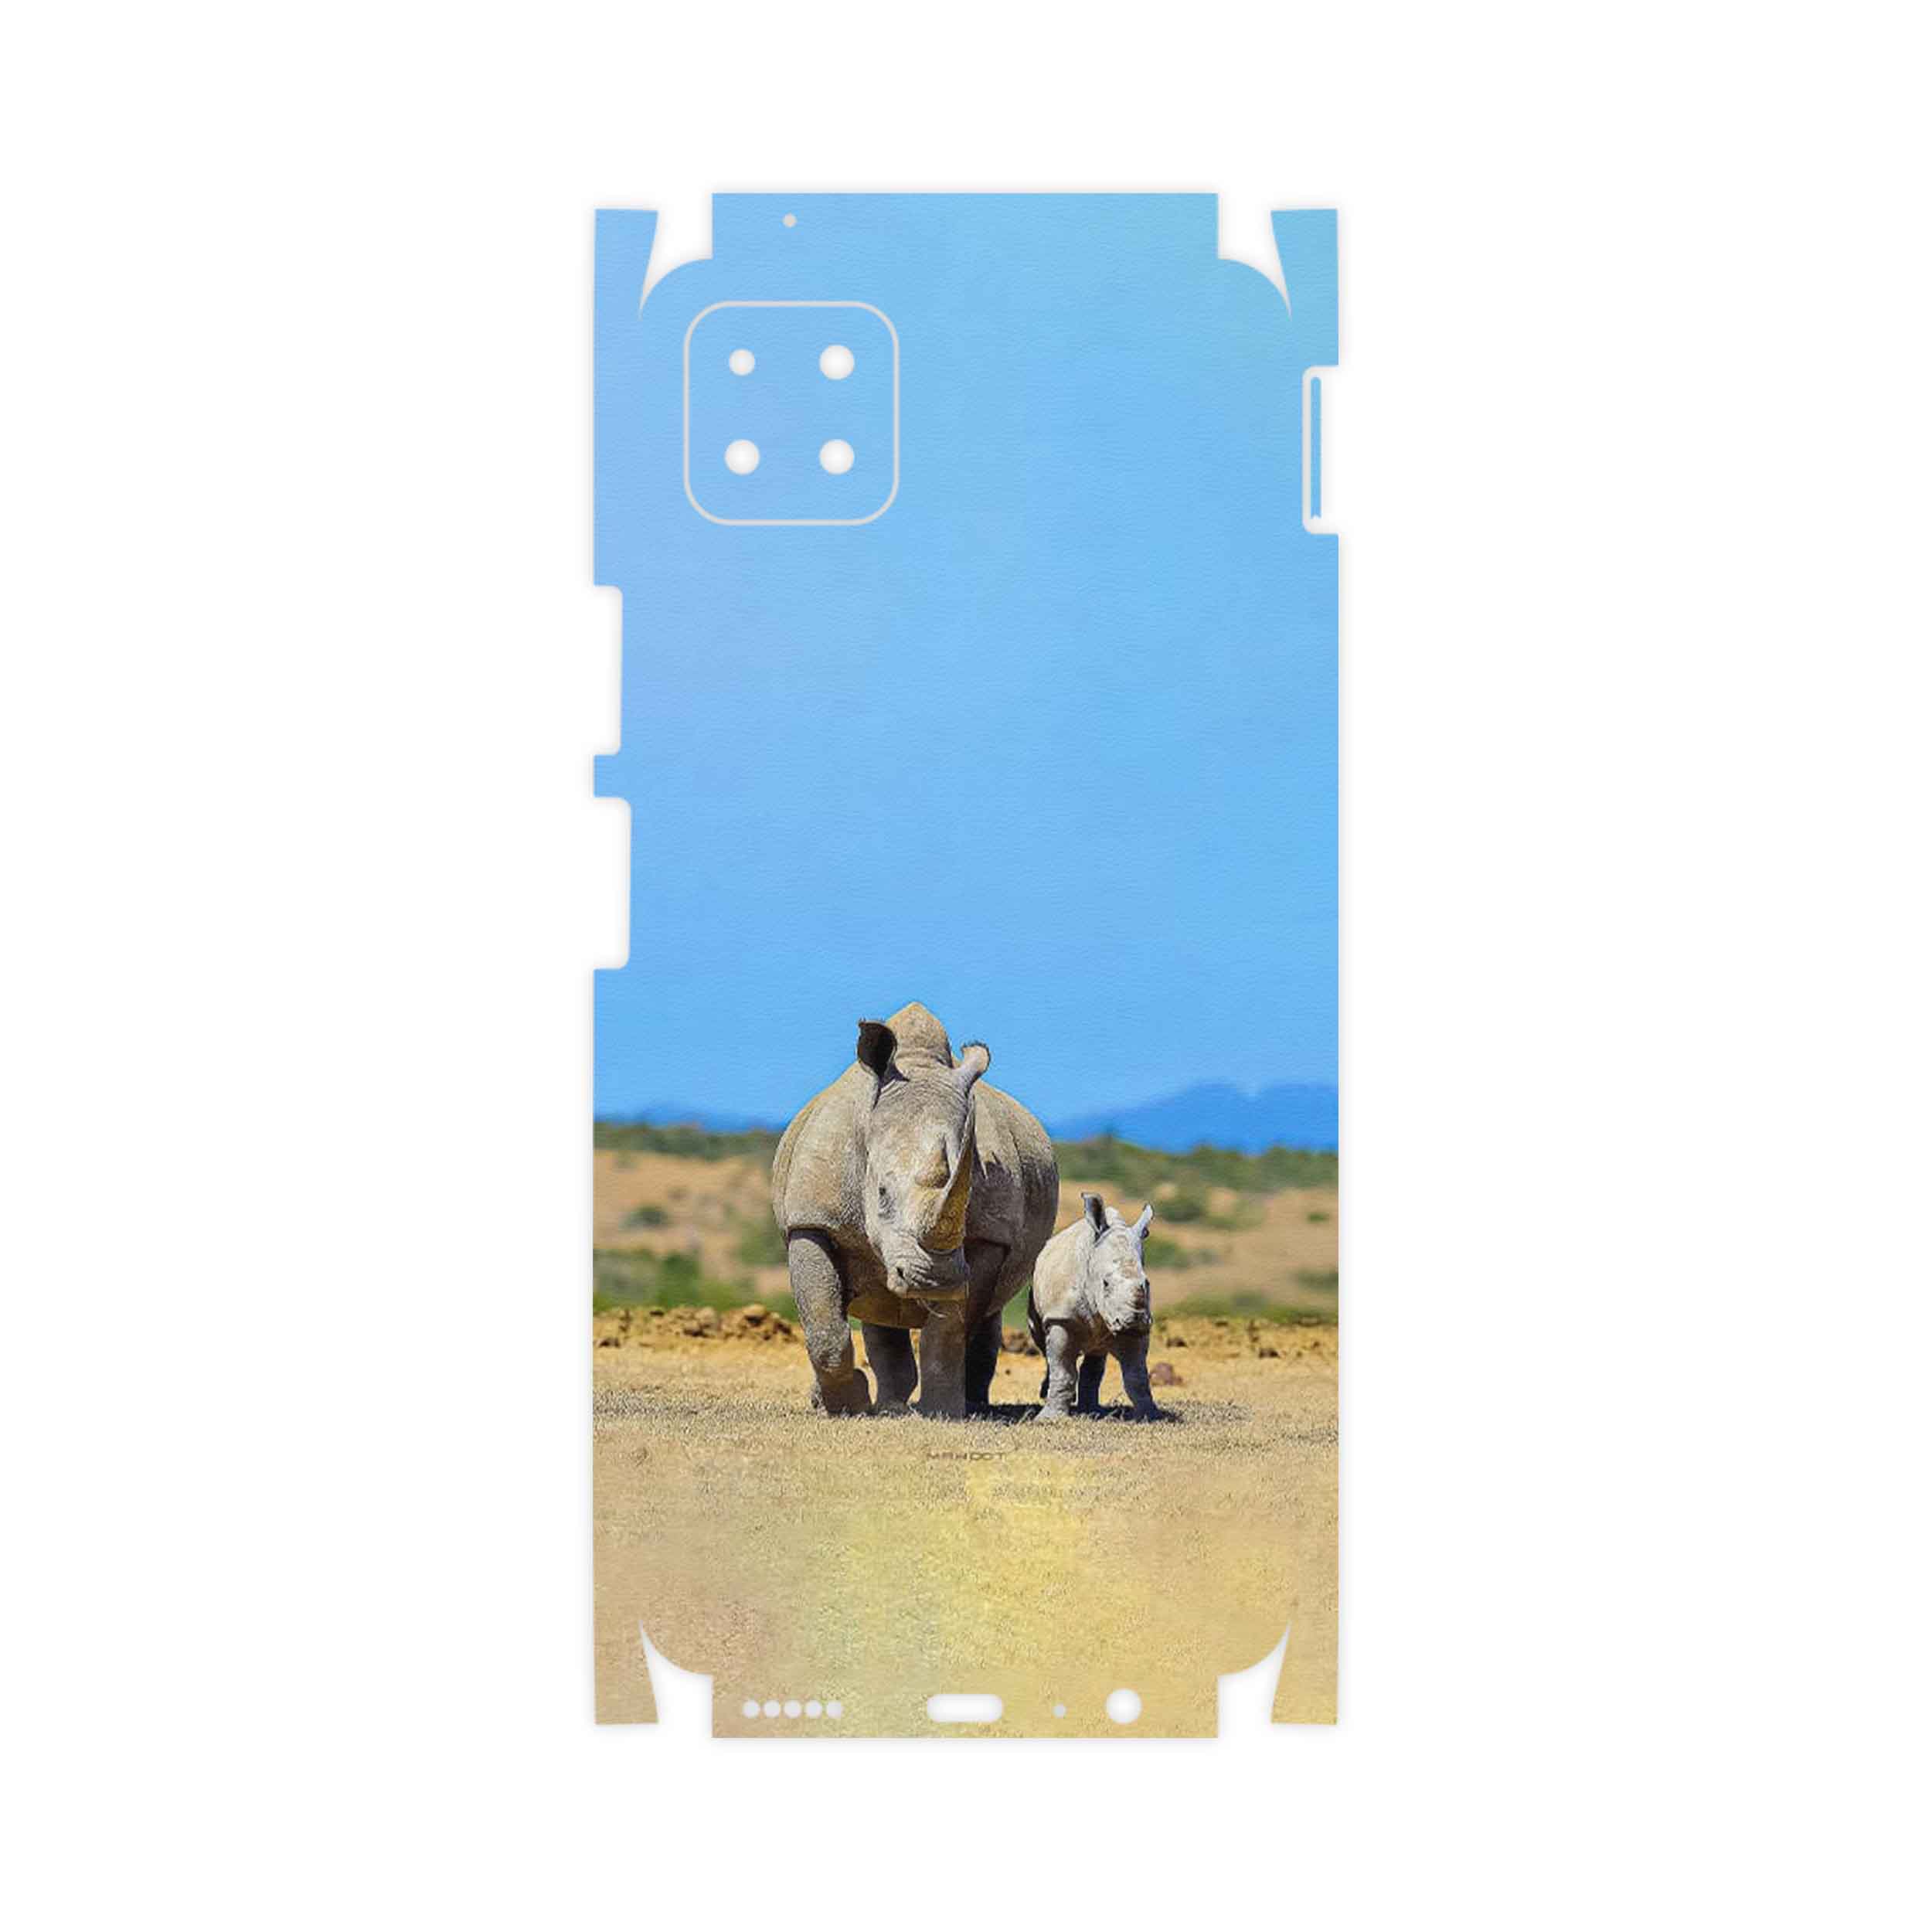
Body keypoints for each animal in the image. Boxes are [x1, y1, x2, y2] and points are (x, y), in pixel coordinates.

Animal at [770, 1002, 1059, 1418]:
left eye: (967, 1196)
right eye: (881, 1193)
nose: (934, 1279)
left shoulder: (989, 1237)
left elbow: (949, 1330)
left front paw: (942, 1411)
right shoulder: (812, 1220)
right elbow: (824, 1324)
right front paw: (847, 1405)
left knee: (984, 1313)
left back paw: (967, 1403)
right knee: (877, 1305)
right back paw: (881, 1405)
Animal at [1027, 1193, 1162, 1420]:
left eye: (1147, 1283)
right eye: (1105, 1284)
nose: (1134, 1320)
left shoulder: (1139, 1328)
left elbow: (1137, 1376)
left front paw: (1150, 1416)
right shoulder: (1061, 1318)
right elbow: (1062, 1370)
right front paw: (1049, 1419)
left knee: (1096, 1354)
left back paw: (1091, 1410)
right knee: (1044, 1346)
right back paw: (1048, 1395)